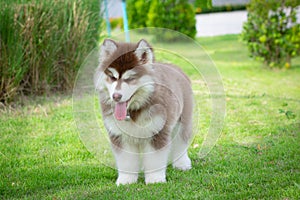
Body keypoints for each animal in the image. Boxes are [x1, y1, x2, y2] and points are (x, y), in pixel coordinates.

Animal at [94, 39, 195, 186]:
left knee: (181, 143)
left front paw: (155, 179)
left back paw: (182, 163)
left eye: (130, 78)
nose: (116, 96)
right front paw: (126, 180)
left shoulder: (157, 132)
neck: (133, 111)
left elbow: (154, 160)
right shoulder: (120, 136)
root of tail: (174, 67)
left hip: (183, 121)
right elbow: (126, 162)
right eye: (112, 77)